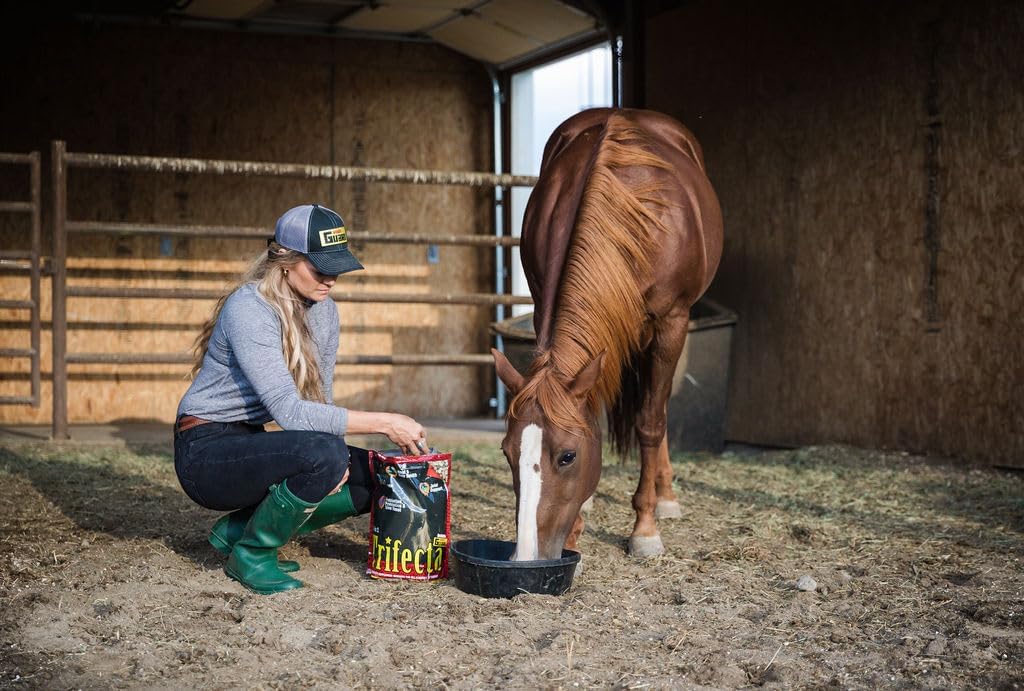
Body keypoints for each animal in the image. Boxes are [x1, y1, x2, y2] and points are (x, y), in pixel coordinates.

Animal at [491, 108, 723, 560]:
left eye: (567, 457)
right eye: (508, 454)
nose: (527, 557)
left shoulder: (671, 321)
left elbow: (651, 421)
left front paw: (645, 528)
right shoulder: (546, 305)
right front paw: (580, 521)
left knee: (658, 408)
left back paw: (665, 497)